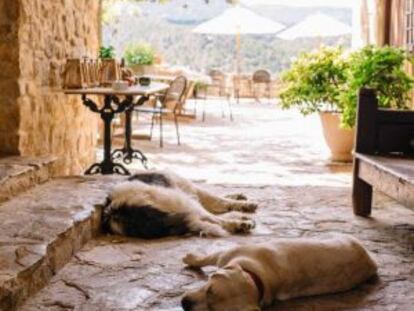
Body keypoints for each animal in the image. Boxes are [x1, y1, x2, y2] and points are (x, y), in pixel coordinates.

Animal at [102, 172, 258, 240]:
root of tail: (114, 209)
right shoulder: (191, 191)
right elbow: (216, 199)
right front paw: (244, 204)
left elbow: (218, 200)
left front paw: (239, 198)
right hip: (179, 199)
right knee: (212, 218)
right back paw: (241, 223)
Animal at [183, 236, 376, 311]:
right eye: (209, 289)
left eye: (213, 310)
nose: (185, 304)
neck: (256, 280)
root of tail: (371, 260)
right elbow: (205, 258)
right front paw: (190, 258)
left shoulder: (226, 256)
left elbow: (206, 258)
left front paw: (190, 258)